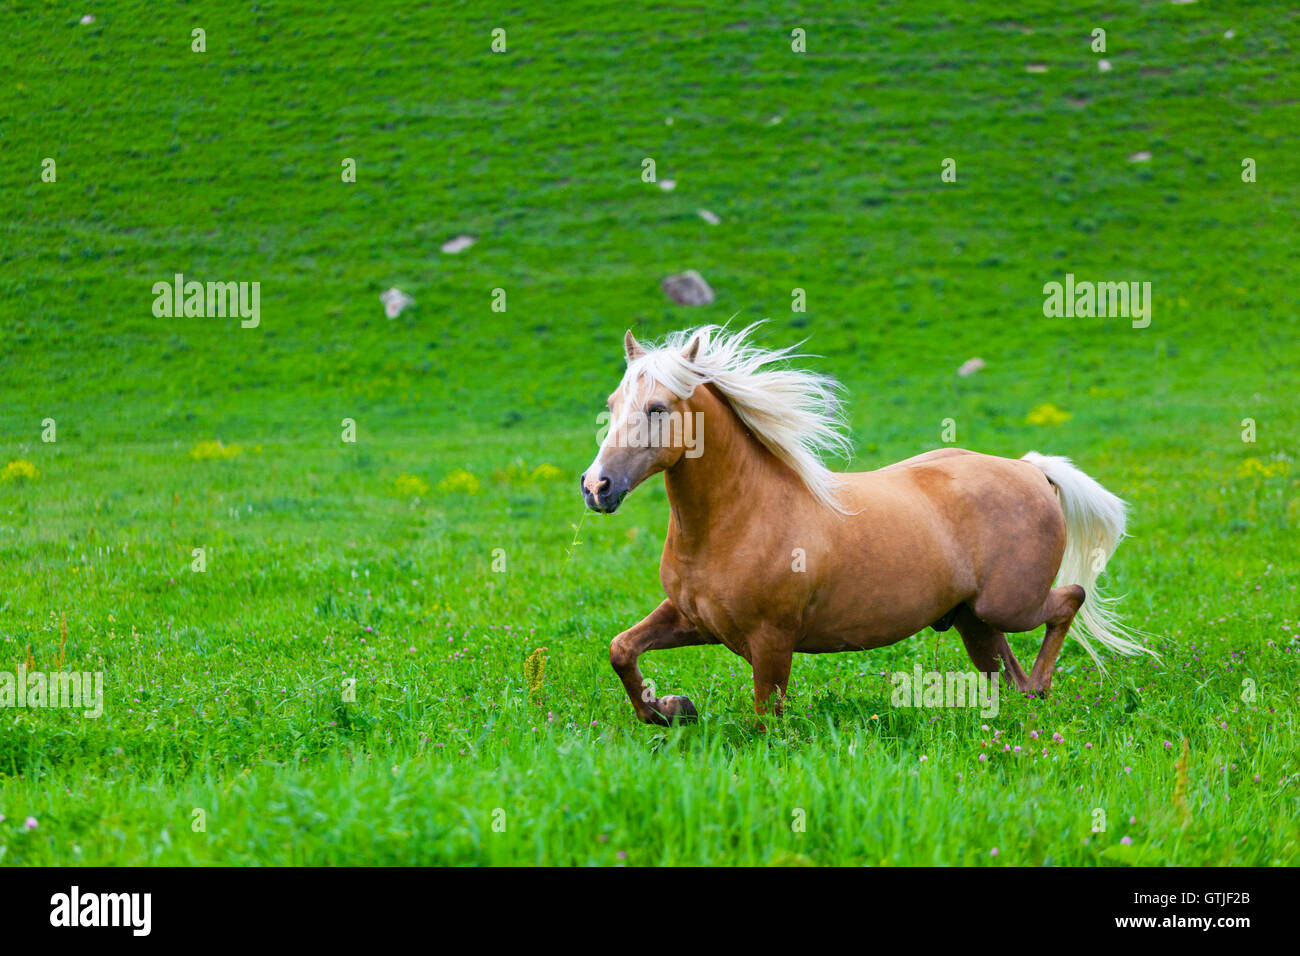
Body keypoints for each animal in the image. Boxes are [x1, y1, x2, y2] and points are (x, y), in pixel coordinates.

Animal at [580, 324, 1151, 726]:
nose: (596, 486)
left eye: (657, 408)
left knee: (1070, 599)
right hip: (973, 620)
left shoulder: (771, 641)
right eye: (611, 404)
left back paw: (1043, 688)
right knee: (1008, 675)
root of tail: (1030, 468)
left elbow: (767, 720)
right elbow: (621, 650)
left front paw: (677, 709)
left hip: (1009, 605)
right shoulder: (691, 617)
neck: (736, 520)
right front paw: (671, 708)